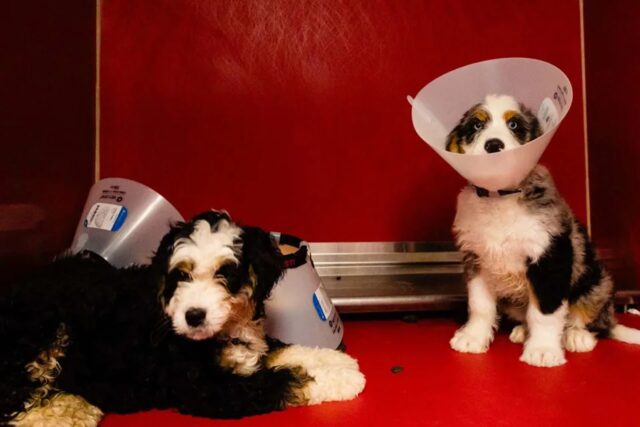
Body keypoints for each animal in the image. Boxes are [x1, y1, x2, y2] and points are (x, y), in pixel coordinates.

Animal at [0, 210, 364, 424]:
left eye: (225, 274)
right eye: (182, 275)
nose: (194, 316)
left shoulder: (252, 346)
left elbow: (284, 350)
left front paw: (336, 361)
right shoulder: (205, 387)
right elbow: (286, 380)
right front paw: (342, 379)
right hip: (43, 332)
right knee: (14, 399)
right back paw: (65, 411)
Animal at [444, 93, 640, 368]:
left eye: (514, 125)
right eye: (476, 125)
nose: (493, 146)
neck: (499, 198)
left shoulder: (549, 258)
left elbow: (544, 312)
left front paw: (543, 350)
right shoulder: (477, 259)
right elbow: (480, 305)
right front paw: (473, 337)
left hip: (598, 284)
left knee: (591, 319)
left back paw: (577, 336)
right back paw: (522, 331)